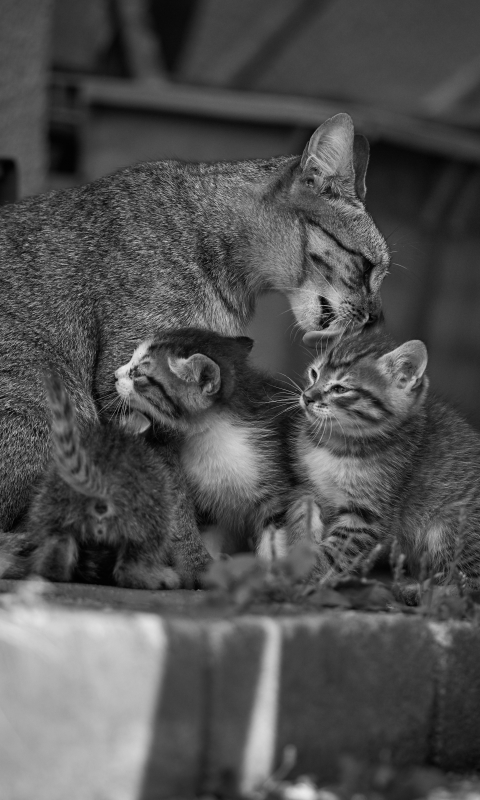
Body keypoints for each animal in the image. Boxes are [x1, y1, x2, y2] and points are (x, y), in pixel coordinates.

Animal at [116, 328, 296, 552]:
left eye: (138, 374)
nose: (115, 375)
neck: (214, 436)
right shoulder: (207, 506)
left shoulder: (276, 494)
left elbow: (275, 544)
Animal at [286, 328, 480, 584]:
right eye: (314, 374)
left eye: (340, 389)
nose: (307, 396)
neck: (338, 444)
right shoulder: (307, 485)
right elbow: (299, 510)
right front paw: (298, 545)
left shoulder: (370, 513)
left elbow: (336, 551)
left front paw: (302, 574)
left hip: (450, 526)